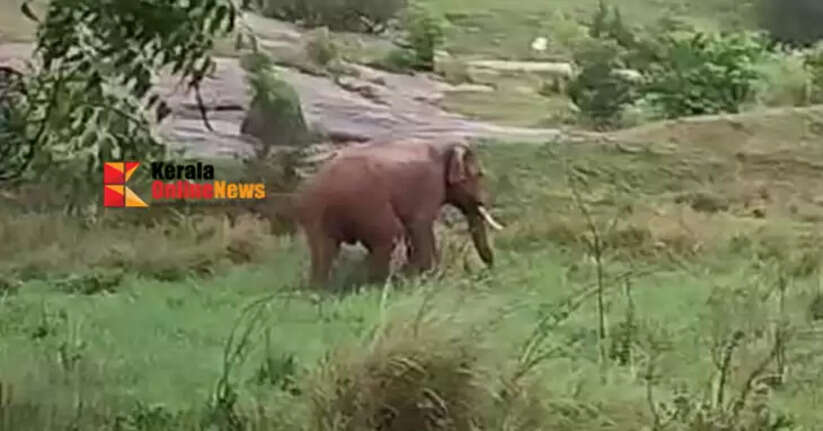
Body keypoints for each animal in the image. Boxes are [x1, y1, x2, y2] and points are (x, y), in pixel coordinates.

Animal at [295, 138, 504, 287]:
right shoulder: (428, 185)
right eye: (480, 175)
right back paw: (377, 284)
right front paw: (426, 277)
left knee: (323, 248)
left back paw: (320, 290)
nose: (489, 269)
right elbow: (420, 225)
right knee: (389, 235)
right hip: (366, 202)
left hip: (317, 212)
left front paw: (417, 276)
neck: (444, 144)